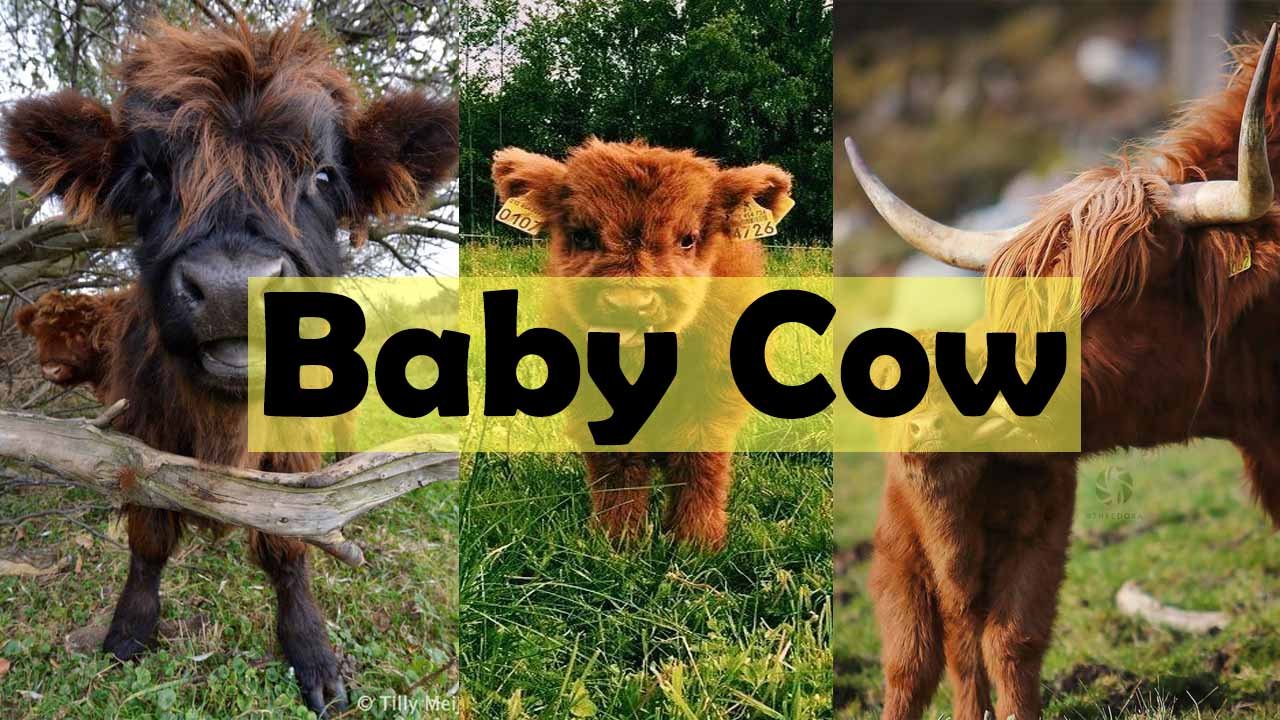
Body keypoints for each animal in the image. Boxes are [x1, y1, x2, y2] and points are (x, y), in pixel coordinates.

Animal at [1, 18, 457, 717]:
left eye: (323, 175)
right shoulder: (141, 438)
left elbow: (289, 543)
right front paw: (128, 633)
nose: (230, 288)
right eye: (149, 175)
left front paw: (313, 658)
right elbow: (149, 538)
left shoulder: (293, 457)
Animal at [490, 139, 791, 550]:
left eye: (687, 238)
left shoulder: (712, 398)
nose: (629, 304)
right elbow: (618, 471)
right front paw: (617, 541)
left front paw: (697, 543)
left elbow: (699, 463)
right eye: (583, 235)